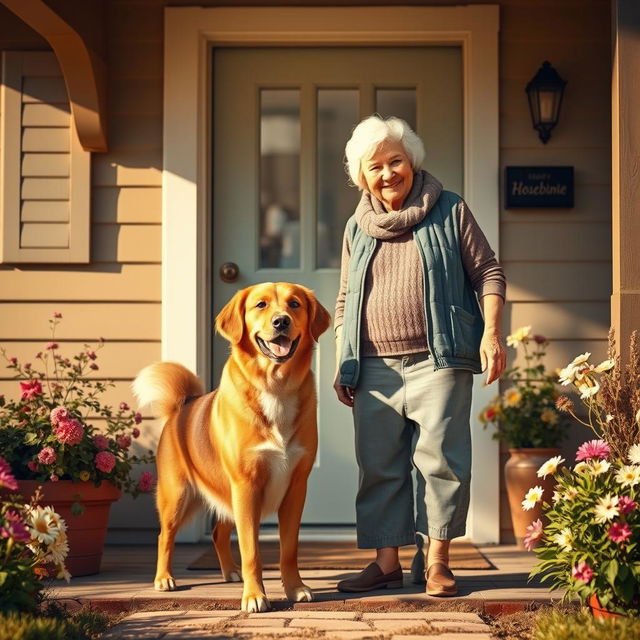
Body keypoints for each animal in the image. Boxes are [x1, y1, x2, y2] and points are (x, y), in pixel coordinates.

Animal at [131, 282, 330, 612]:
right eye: (261, 305)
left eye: (295, 304)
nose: (281, 321)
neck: (275, 386)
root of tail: (182, 406)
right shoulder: (246, 487)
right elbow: (252, 552)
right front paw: (255, 596)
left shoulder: (295, 489)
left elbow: (289, 550)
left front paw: (294, 588)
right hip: (178, 496)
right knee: (164, 536)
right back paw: (164, 578)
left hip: (225, 495)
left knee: (217, 533)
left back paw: (230, 572)